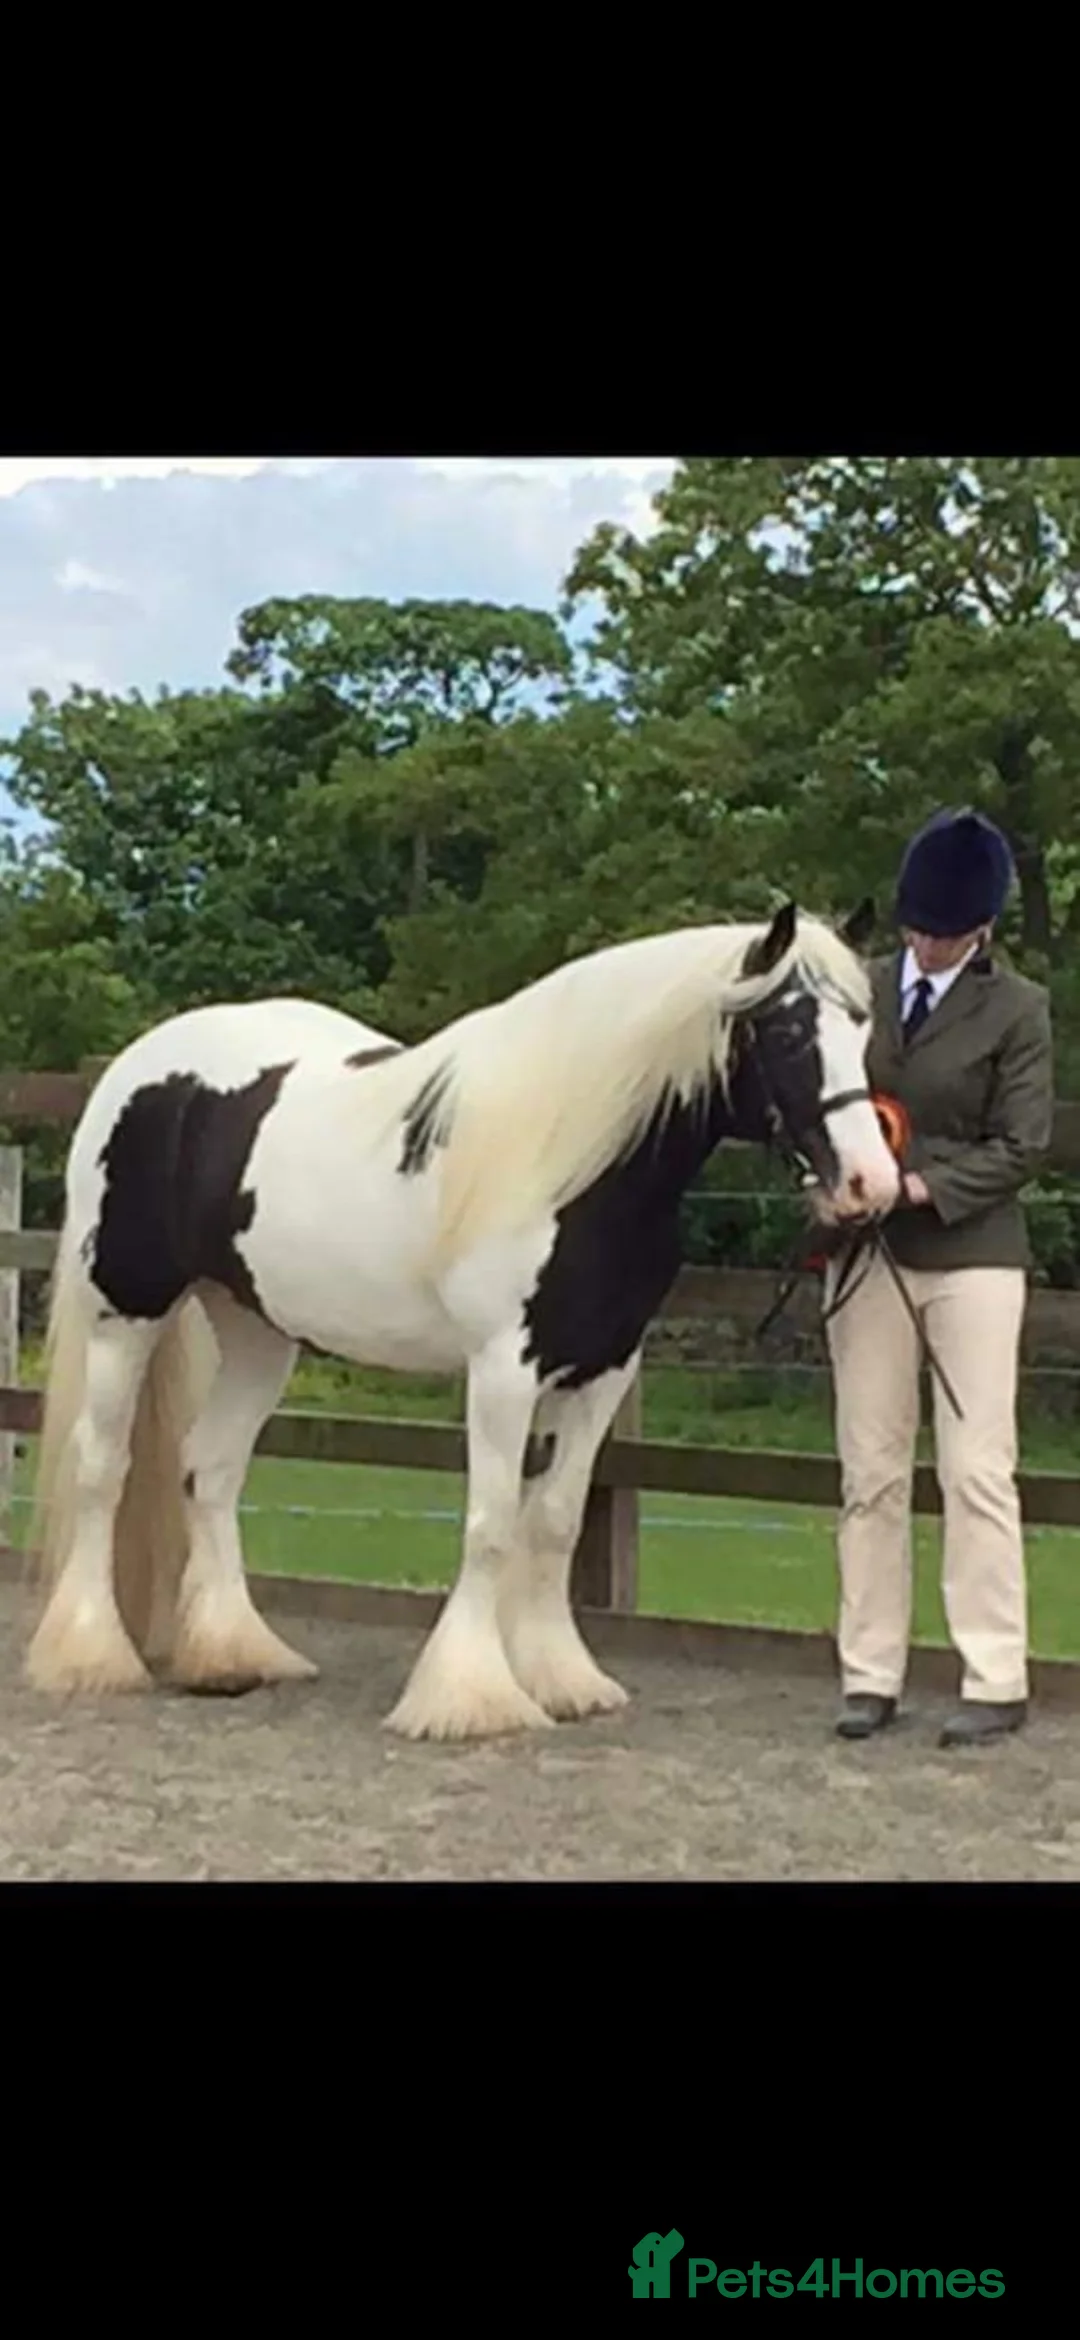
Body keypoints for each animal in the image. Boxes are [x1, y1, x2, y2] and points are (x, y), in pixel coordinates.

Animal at [22, 895, 900, 1742]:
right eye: (787, 1030)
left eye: (862, 1024)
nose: (871, 1182)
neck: (570, 1162)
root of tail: (139, 1067)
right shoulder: (505, 1368)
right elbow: (492, 1523)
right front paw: (471, 1697)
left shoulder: (605, 1368)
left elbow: (555, 1521)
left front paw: (562, 1679)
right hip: (124, 1311)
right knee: (101, 1466)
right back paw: (90, 1653)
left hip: (257, 1331)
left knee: (210, 1468)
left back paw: (233, 1654)